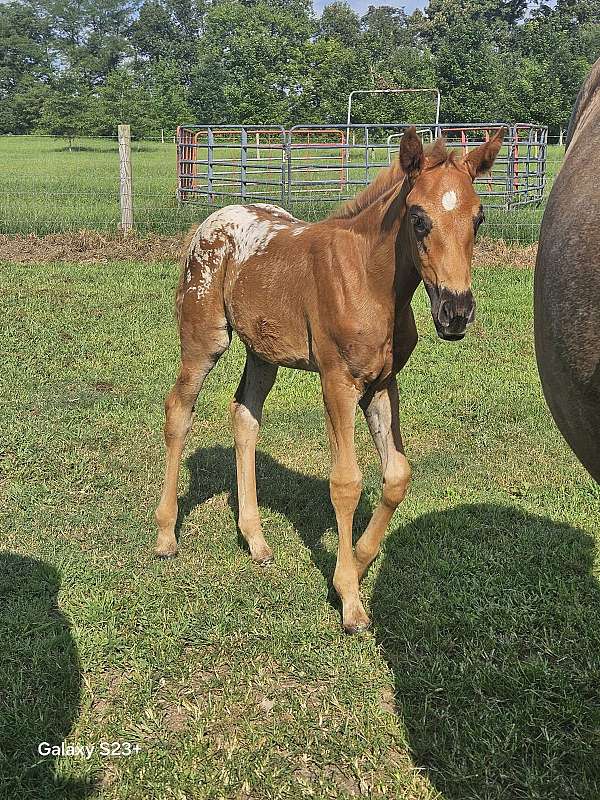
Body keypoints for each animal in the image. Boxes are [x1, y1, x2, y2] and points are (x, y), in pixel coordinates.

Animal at [155, 126, 505, 633]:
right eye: (419, 219)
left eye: (478, 219)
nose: (455, 312)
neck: (370, 280)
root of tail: (212, 220)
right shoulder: (338, 382)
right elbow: (346, 483)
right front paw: (351, 600)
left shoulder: (381, 384)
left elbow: (397, 475)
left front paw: (354, 565)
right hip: (205, 337)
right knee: (179, 408)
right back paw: (165, 534)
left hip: (263, 351)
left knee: (244, 416)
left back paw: (256, 540)